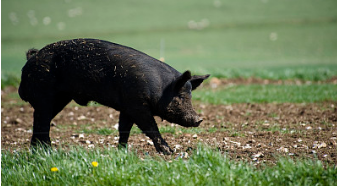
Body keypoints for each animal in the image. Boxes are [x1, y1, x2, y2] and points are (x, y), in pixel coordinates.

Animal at [18, 38, 209, 154]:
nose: (199, 119)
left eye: (190, 95)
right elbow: (150, 127)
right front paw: (169, 152)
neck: (160, 88)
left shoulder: (127, 107)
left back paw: (38, 151)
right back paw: (48, 151)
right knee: (42, 123)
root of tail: (30, 60)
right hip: (44, 96)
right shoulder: (137, 105)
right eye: (181, 97)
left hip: (60, 99)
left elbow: (124, 128)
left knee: (39, 123)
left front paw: (122, 151)